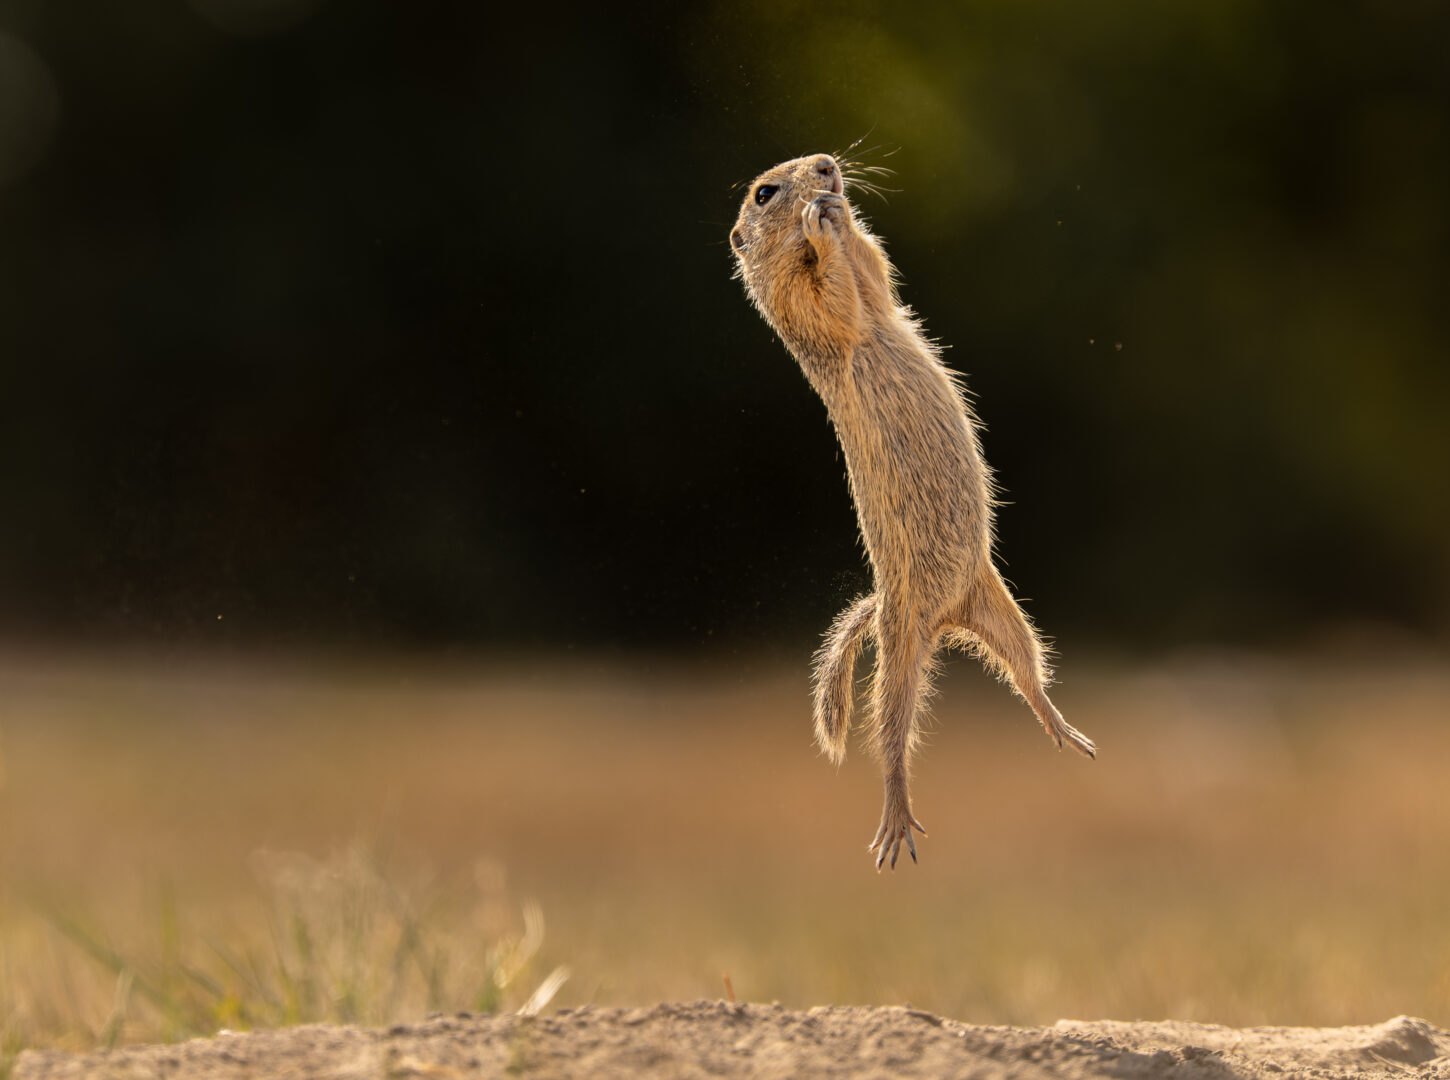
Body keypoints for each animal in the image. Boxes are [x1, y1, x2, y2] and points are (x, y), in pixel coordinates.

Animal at [729, 153, 1096, 870]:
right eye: (764, 193)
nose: (827, 165)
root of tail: (945, 618)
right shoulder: (811, 313)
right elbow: (832, 297)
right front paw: (818, 222)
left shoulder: (881, 292)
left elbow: (877, 270)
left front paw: (843, 216)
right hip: (898, 656)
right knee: (891, 738)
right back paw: (895, 821)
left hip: (1003, 606)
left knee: (1025, 672)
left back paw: (1065, 731)